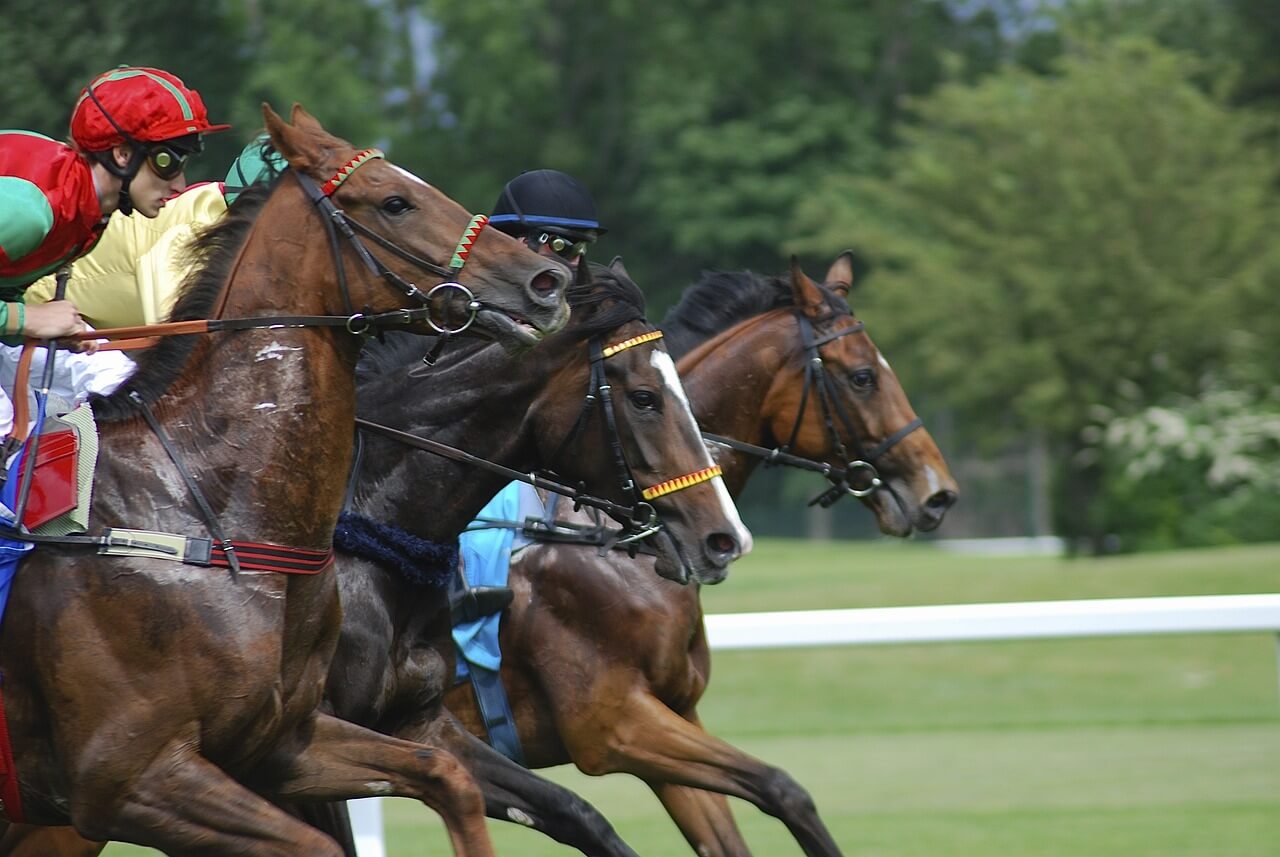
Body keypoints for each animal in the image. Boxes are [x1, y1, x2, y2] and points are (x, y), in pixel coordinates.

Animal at [0, 104, 570, 854]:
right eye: (395, 201)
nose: (546, 280)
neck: (205, 512)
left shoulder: (283, 742)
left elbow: (447, 775)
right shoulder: (130, 779)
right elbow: (321, 843)